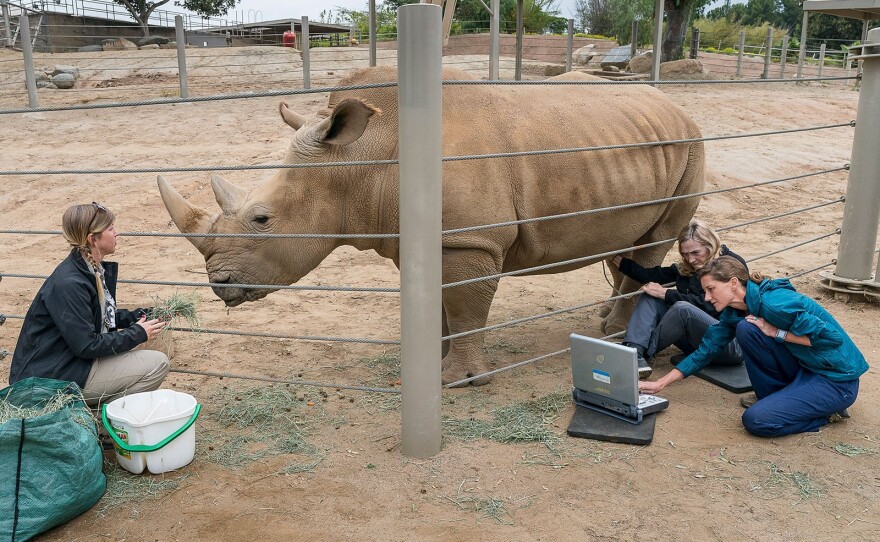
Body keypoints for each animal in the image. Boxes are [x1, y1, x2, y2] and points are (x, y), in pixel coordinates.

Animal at [158, 66, 704, 386]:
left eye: (262, 218)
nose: (219, 285)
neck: (362, 159)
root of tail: (673, 103)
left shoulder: (469, 242)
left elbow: (463, 307)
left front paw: (458, 381)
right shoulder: (424, 239)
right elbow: (441, 303)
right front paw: (432, 364)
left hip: (693, 143)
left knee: (654, 244)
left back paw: (614, 335)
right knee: (630, 243)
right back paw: (603, 322)